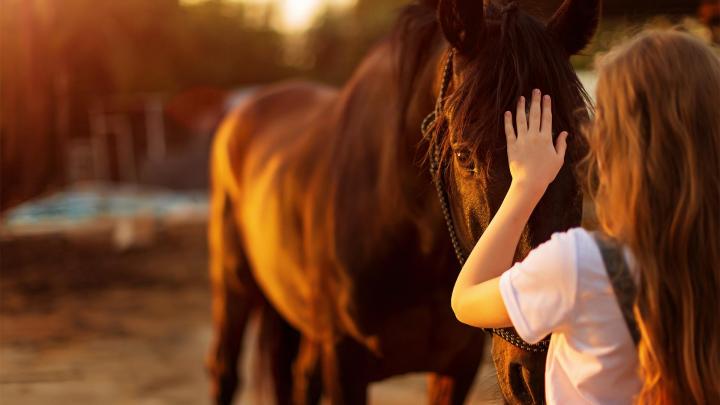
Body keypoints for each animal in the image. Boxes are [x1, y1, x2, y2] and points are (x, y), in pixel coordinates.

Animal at [207, 0, 596, 404]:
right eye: (463, 155)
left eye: (581, 150)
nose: (540, 375)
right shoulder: (344, 360)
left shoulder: (457, 365)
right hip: (233, 285)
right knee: (225, 369)